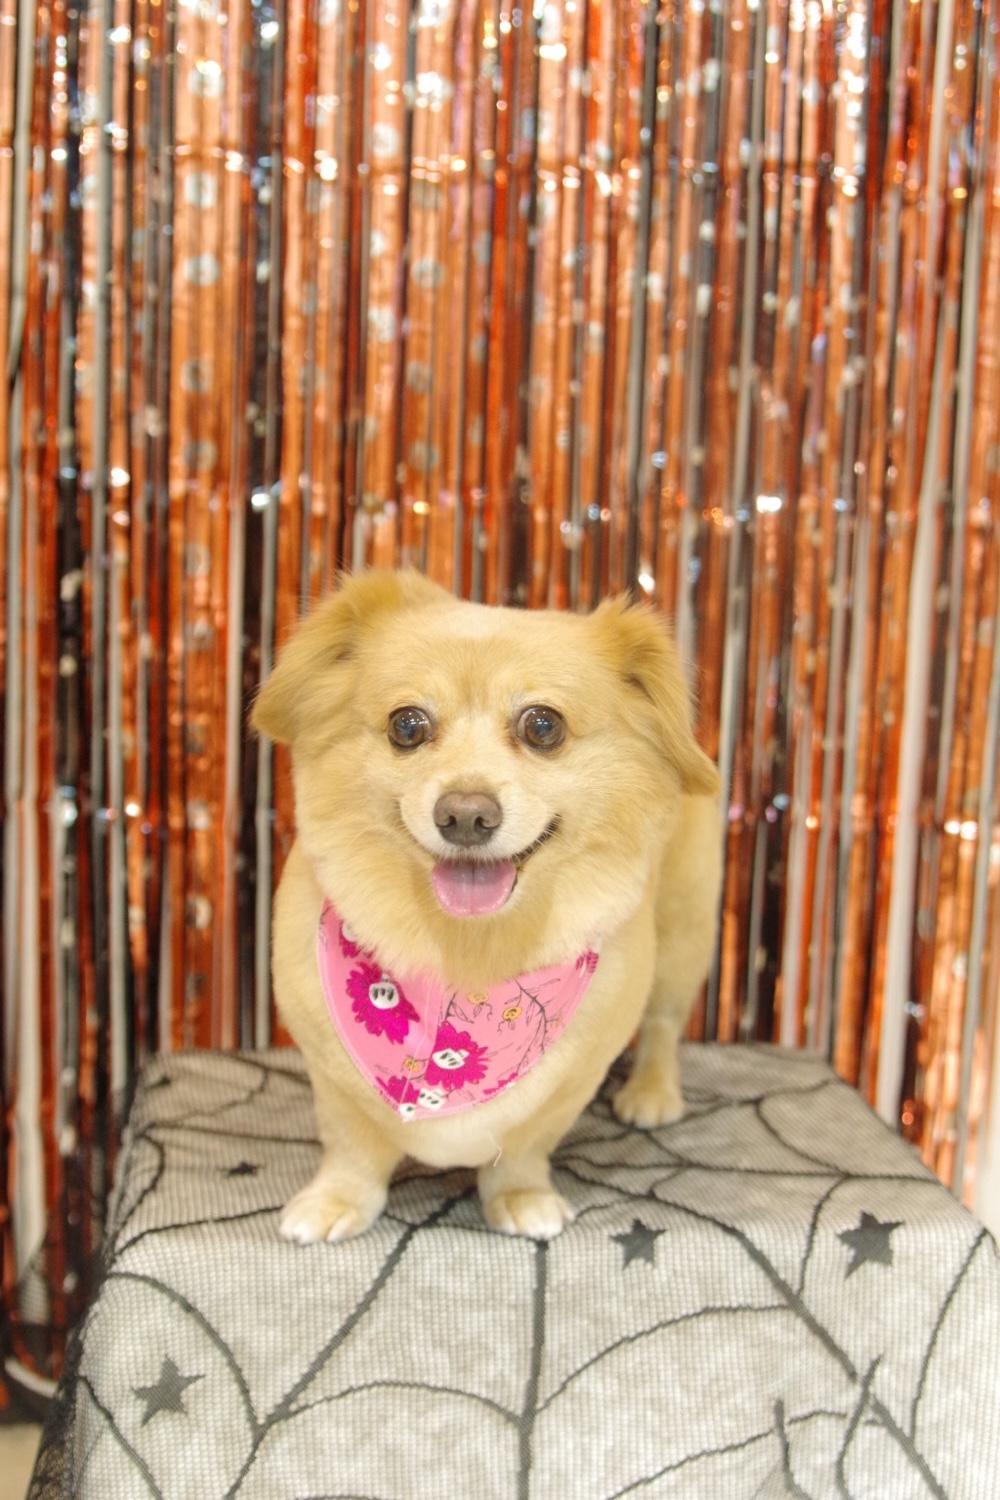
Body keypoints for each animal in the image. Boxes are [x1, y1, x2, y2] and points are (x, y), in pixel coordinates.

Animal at [252, 570, 722, 1241]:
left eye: (543, 726)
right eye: (407, 725)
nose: (466, 815)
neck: (467, 957)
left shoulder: (570, 1079)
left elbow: (524, 1147)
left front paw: (522, 1196)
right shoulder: (331, 1076)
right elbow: (352, 1146)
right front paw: (337, 1199)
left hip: (685, 932)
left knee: (663, 1025)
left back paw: (652, 1094)